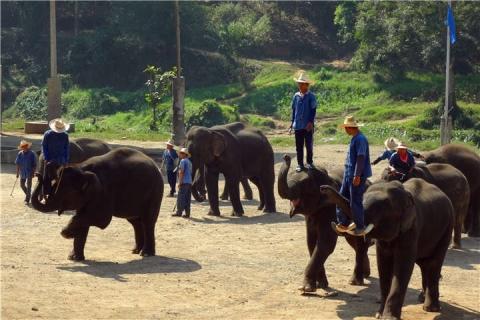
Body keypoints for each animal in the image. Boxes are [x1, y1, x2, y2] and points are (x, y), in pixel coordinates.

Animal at [31, 149, 164, 262]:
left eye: (65, 192)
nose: (37, 174)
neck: (83, 168)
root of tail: (155, 165)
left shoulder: (104, 192)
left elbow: (101, 219)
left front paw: (67, 233)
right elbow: (83, 219)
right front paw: (74, 258)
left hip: (155, 192)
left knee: (148, 221)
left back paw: (146, 254)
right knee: (135, 222)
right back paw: (135, 251)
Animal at [278, 155, 372, 292]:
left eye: (306, 184)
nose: (286, 157)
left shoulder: (330, 209)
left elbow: (325, 244)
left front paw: (306, 289)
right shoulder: (311, 216)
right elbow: (311, 243)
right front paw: (321, 285)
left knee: (360, 244)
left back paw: (355, 281)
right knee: (353, 242)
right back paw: (366, 274)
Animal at [318, 180, 454, 320]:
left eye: (380, 209)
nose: (323, 188)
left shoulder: (411, 228)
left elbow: (403, 267)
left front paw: (389, 318)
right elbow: (383, 265)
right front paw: (379, 315)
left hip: (447, 227)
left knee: (434, 263)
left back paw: (430, 308)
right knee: (424, 264)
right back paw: (422, 299)